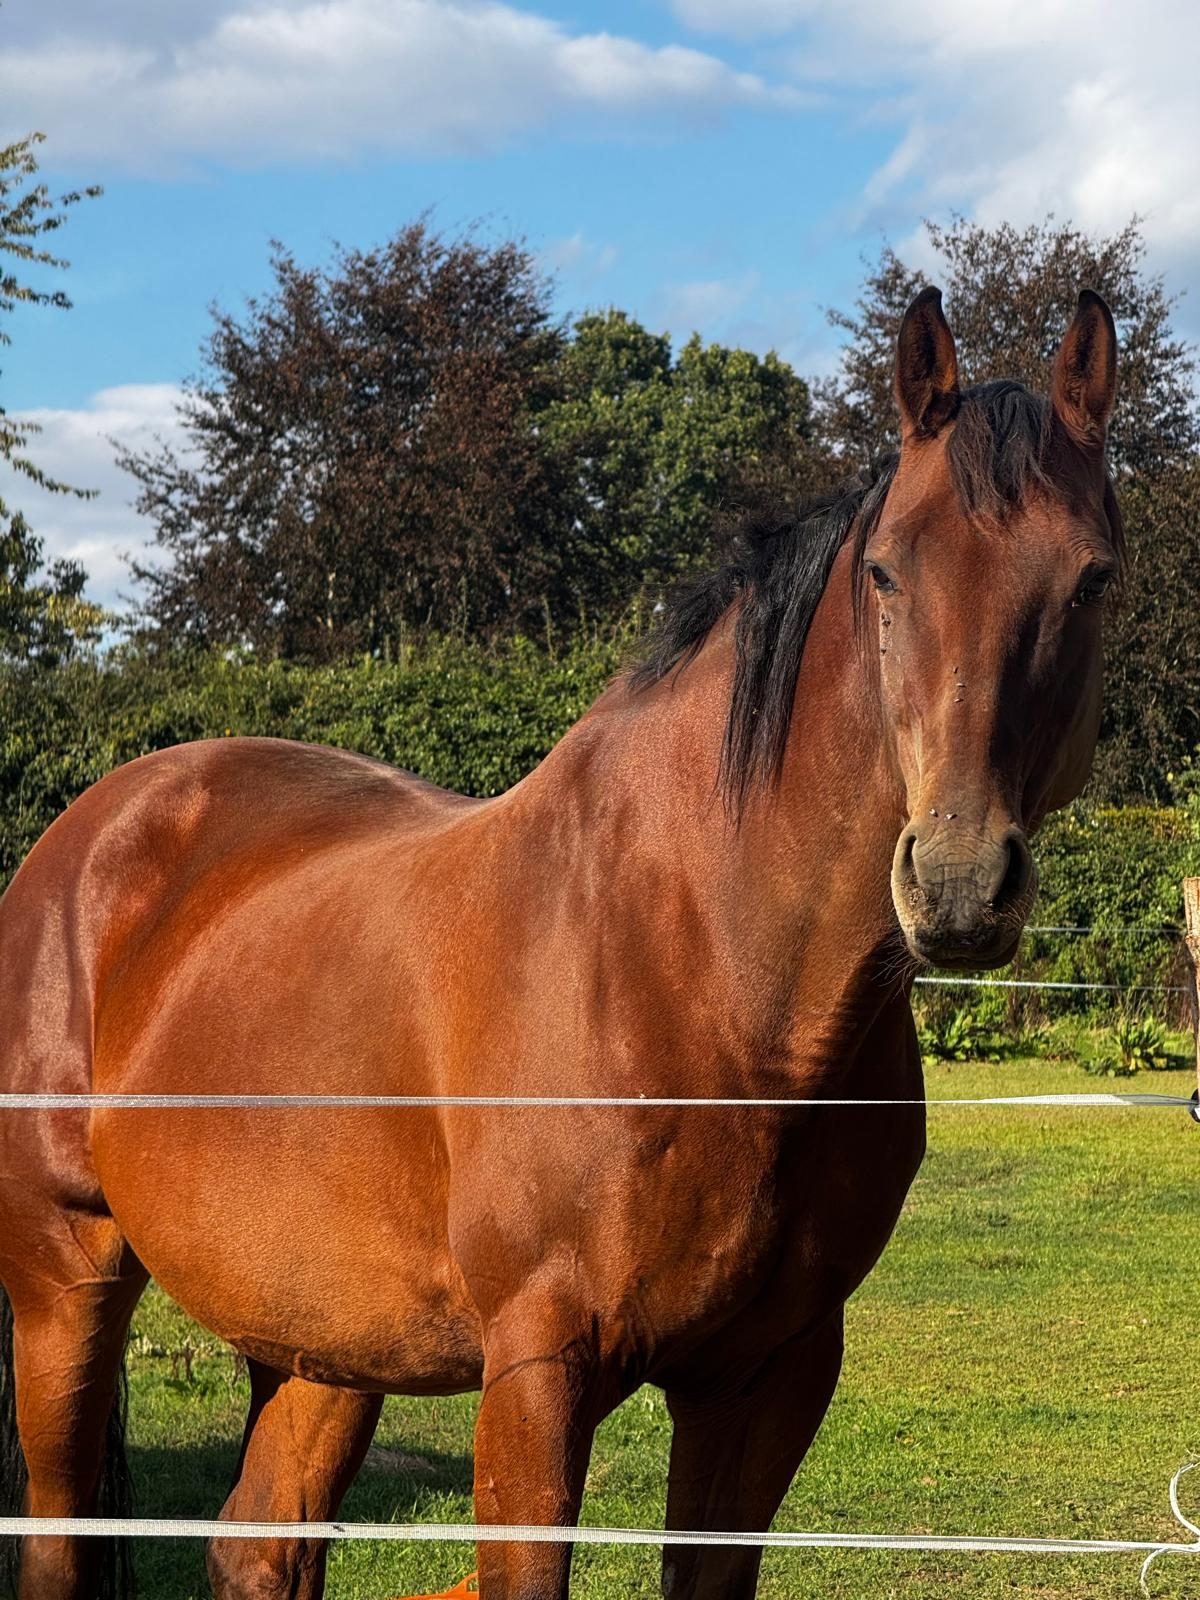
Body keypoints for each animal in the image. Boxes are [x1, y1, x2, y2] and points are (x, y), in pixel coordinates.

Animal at [0, 286, 1122, 1600]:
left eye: (1092, 580)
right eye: (887, 572)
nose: (955, 880)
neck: (700, 971)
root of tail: (90, 833)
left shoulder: (770, 1377)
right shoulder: (538, 1373)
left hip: (320, 1339)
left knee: (259, 1545)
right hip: (65, 1282)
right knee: (59, 1536)